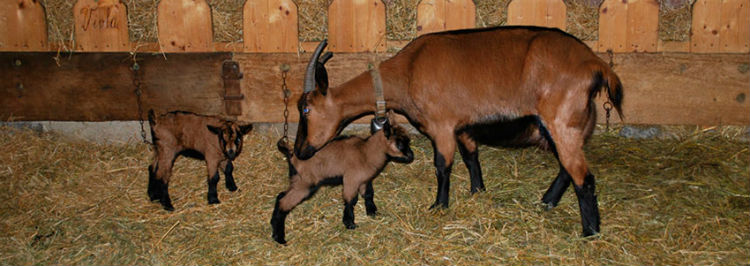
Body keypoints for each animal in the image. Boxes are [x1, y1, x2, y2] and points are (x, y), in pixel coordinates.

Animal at [294, 26, 624, 236]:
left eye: (306, 109)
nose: (300, 150)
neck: (407, 71)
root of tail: (596, 65)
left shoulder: (442, 126)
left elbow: (442, 166)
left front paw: (439, 206)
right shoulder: (463, 126)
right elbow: (470, 158)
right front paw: (477, 191)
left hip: (561, 122)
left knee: (584, 178)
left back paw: (590, 232)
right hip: (574, 125)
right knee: (569, 169)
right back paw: (548, 201)